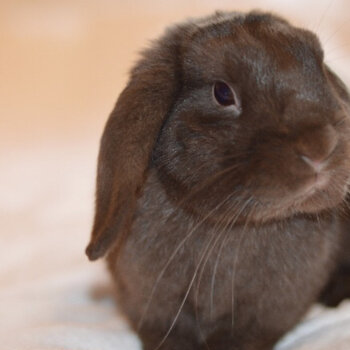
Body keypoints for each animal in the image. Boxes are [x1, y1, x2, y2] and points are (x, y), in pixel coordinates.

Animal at [86, 10, 350, 350]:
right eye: (222, 93)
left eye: (320, 66)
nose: (321, 146)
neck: (227, 227)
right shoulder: (154, 305)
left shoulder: (269, 311)